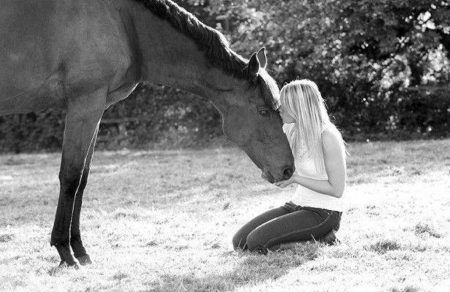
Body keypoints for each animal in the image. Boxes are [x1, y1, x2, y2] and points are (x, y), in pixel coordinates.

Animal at [0, 0, 296, 268]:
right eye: (263, 111)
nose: (287, 170)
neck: (123, 22)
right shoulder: (84, 105)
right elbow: (71, 178)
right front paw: (65, 251)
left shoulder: (96, 109)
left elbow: (82, 181)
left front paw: (80, 249)